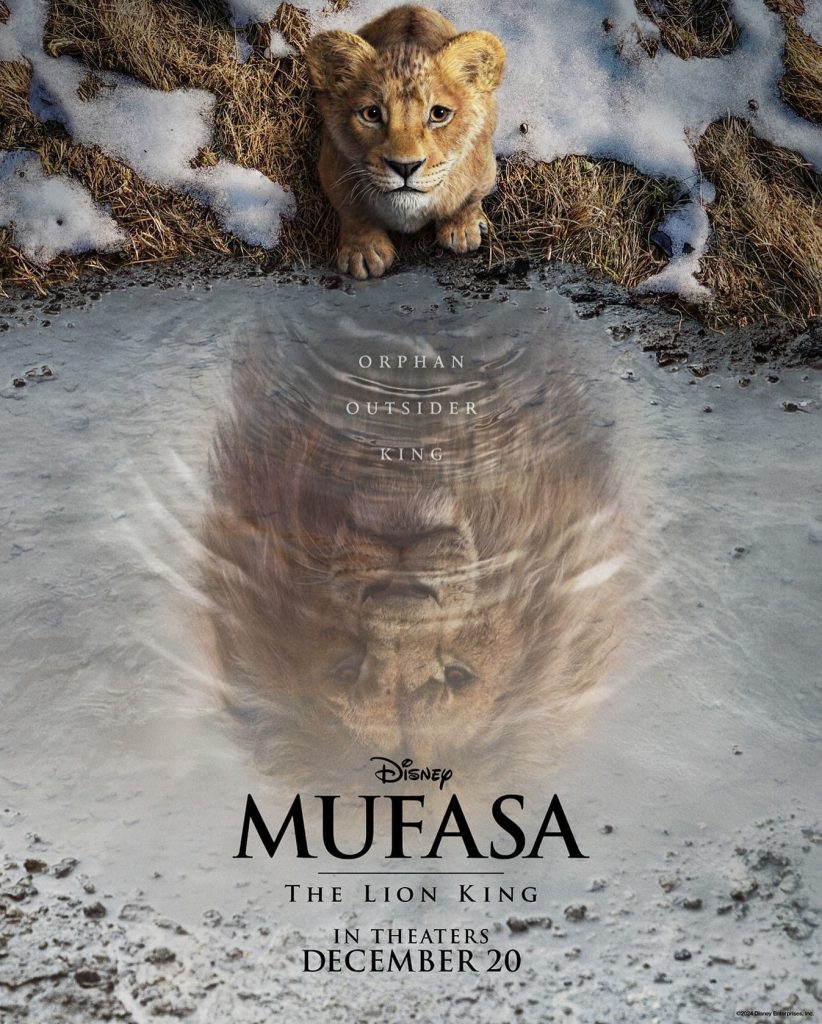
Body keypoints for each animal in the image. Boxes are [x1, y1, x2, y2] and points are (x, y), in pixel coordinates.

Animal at [305, 5, 505, 279]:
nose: (405, 167)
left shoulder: (484, 167)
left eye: (439, 114)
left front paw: (462, 229)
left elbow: (468, 199)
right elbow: (353, 211)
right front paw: (363, 252)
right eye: (371, 114)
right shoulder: (332, 166)